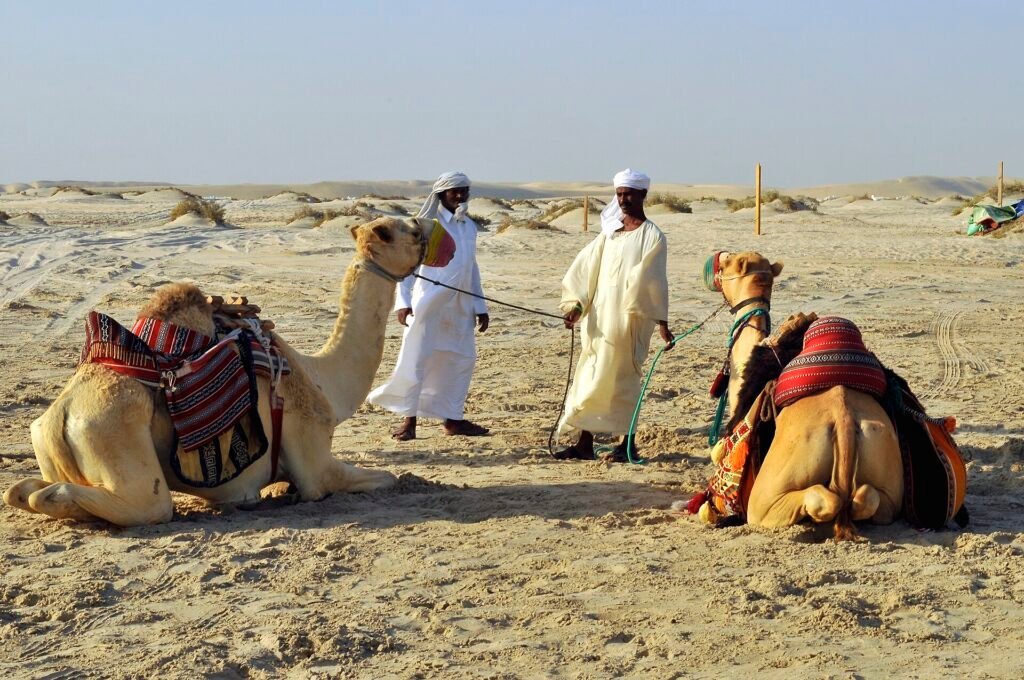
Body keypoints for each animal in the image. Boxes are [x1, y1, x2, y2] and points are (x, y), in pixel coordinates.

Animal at [4, 217, 444, 526]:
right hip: (115, 435)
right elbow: (384, 478)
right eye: (399, 230)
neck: (323, 380)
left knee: (21, 491)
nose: (426, 225)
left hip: (50, 445)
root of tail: (58, 417)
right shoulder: (315, 462)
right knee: (142, 504)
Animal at [699, 251, 903, 540]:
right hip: (890, 484)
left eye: (726, 264)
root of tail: (844, 422)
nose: (715, 259)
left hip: (768, 495)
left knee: (816, 500)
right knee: (868, 499)